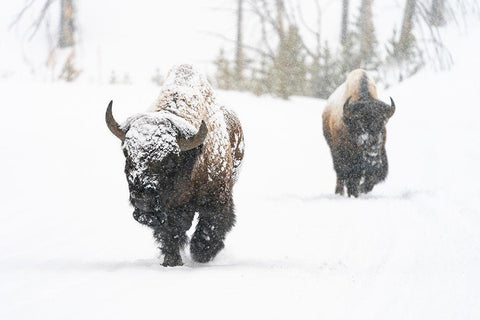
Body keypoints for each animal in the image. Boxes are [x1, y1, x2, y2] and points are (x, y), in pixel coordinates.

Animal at [104, 63, 244, 266]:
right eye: (126, 153)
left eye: (170, 160)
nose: (143, 200)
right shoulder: (168, 209)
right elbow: (171, 232)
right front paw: (172, 261)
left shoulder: (217, 198)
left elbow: (210, 226)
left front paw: (200, 253)